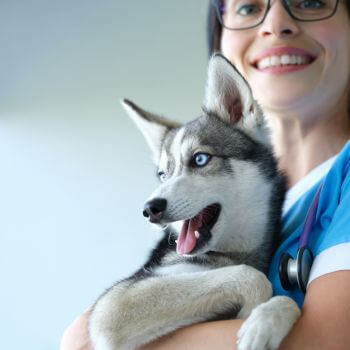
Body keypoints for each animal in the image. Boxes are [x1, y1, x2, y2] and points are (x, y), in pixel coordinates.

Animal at [89, 54, 300, 350]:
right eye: (162, 174)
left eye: (200, 159)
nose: (149, 209)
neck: (228, 255)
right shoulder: (117, 303)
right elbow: (251, 276)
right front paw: (254, 311)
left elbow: (287, 299)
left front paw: (265, 321)